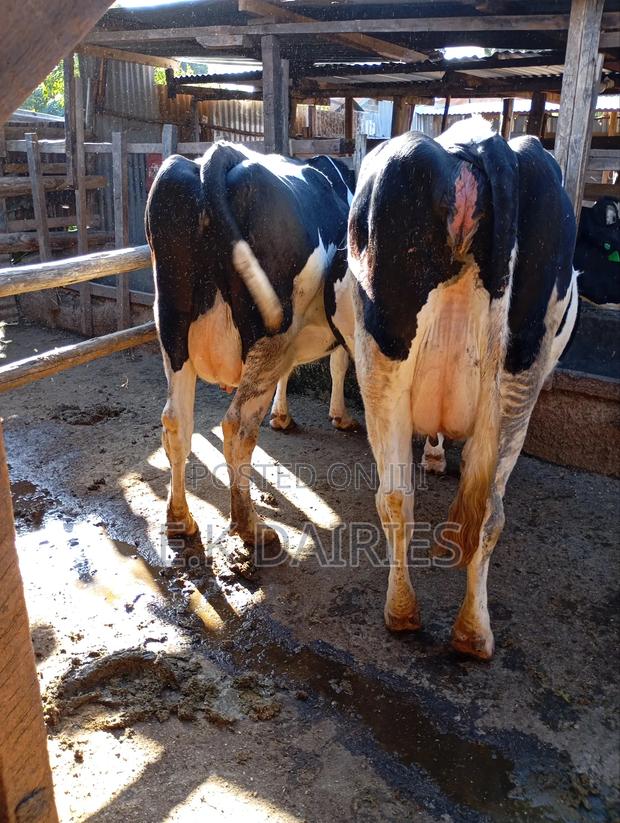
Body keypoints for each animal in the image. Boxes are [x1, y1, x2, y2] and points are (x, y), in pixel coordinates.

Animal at [146, 141, 354, 548]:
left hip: (172, 326)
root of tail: (216, 157)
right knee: (238, 426)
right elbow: (338, 364)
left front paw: (282, 415)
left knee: (176, 421)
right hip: (270, 333)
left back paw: (180, 520)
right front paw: (339, 415)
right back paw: (250, 526)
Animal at [327, 119, 578, 659]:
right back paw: (445, 624)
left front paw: (436, 454)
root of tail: (478, 145)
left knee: (422, 501)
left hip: (409, 365)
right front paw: (437, 455)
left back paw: (438, 623)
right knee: (439, 503)